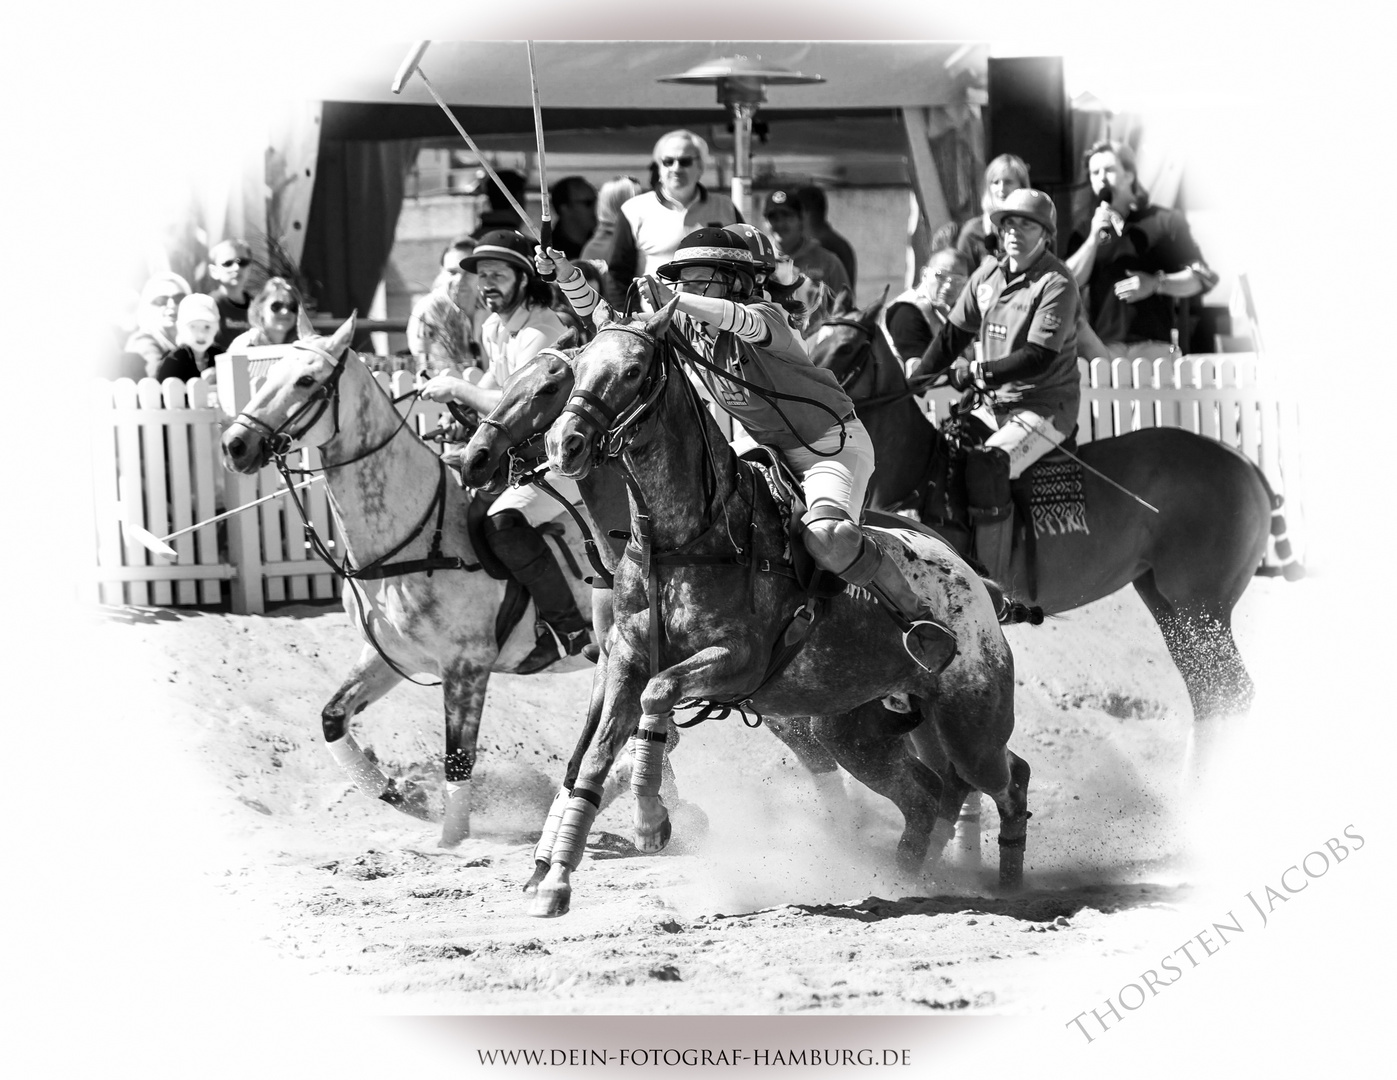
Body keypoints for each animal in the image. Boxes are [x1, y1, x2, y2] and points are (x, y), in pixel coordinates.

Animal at [536, 303, 1039, 916]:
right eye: (579, 365)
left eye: (633, 370)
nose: (565, 443)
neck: (687, 539)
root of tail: (975, 580)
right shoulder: (624, 661)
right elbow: (591, 760)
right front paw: (556, 879)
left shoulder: (737, 661)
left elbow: (658, 697)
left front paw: (651, 824)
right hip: (855, 729)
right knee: (927, 793)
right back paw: (903, 881)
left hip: (970, 722)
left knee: (1008, 779)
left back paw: (1009, 886)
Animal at [815, 290, 1279, 771]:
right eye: (809, 333)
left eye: (848, 349)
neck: (922, 474)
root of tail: (1243, 462)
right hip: (1168, 604)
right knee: (1209, 695)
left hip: (1202, 604)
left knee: (1231, 691)